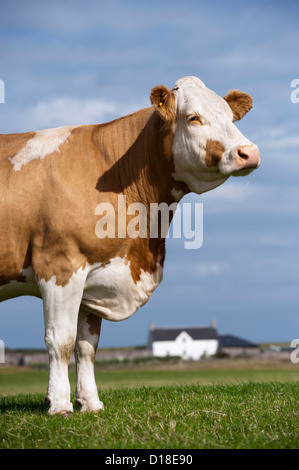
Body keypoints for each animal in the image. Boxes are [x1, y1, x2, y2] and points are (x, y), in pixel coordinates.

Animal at [0, 76, 260, 414]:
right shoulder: (60, 266)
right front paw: (59, 405)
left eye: (231, 117)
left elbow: (86, 347)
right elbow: (62, 341)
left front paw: (90, 403)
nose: (249, 152)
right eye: (193, 117)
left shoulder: (94, 276)